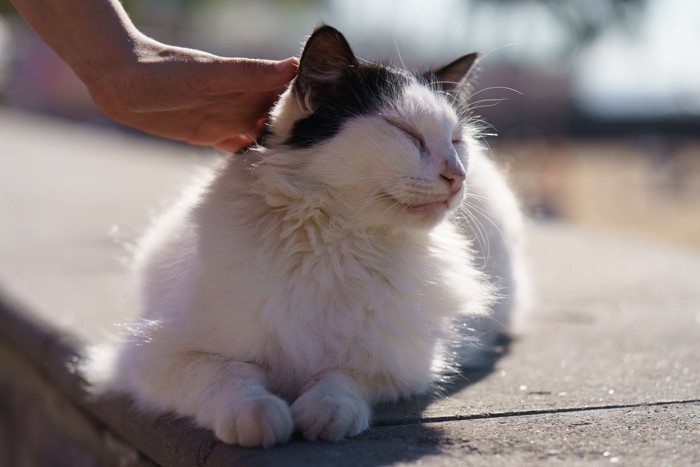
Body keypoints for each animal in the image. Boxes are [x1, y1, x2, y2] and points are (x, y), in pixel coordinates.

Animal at [85, 23, 524, 448]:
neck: (334, 240)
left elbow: (339, 378)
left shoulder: (398, 362)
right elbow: (227, 376)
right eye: (404, 132)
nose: (457, 175)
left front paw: (327, 413)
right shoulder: (156, 353)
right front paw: (257, 414)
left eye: (456, 141)